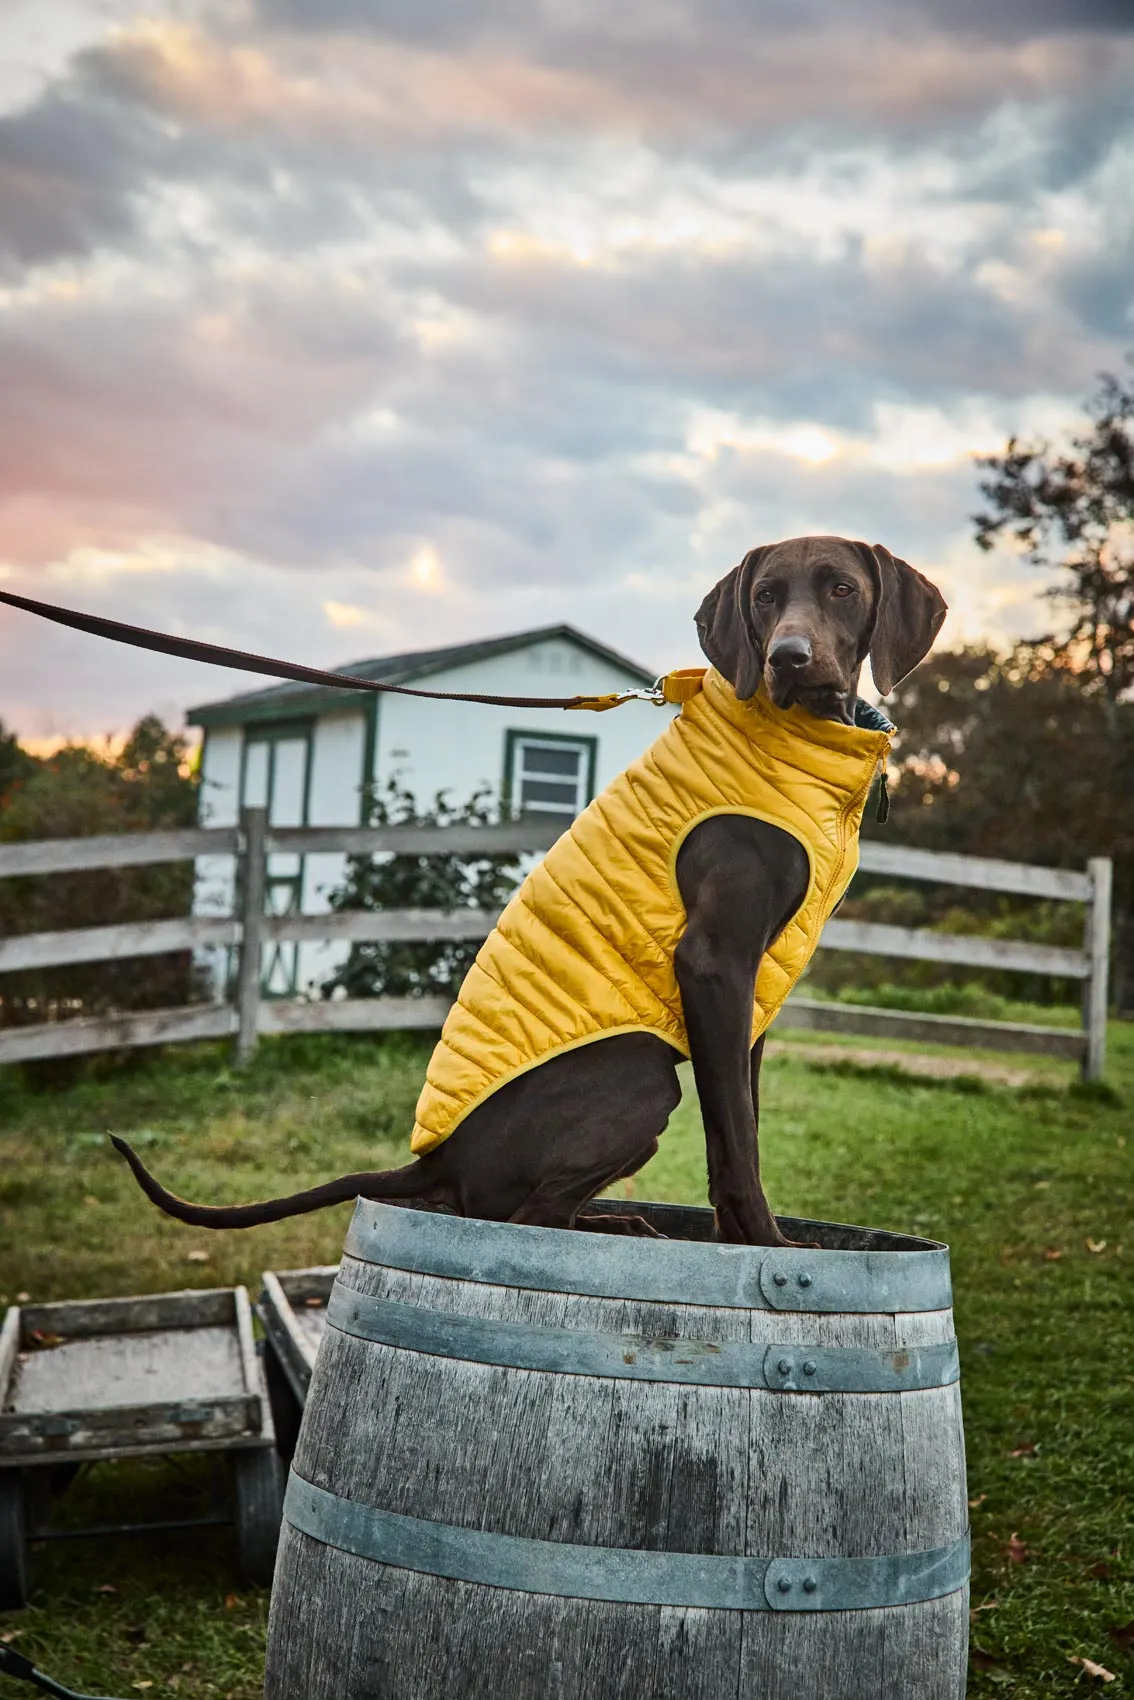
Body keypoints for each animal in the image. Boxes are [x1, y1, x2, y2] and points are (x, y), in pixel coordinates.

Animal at [117, 533, 952, 1251]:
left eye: (842, 589)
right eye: (765, 595)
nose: (788, 656)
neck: (805, 747)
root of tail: (436, 1160)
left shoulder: (754, 992)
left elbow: (737, 1125)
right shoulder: (716, 964)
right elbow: (735, 1141)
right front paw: (768, 1247)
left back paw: (620, 1224)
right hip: (641, 1079)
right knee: (517, 1218)